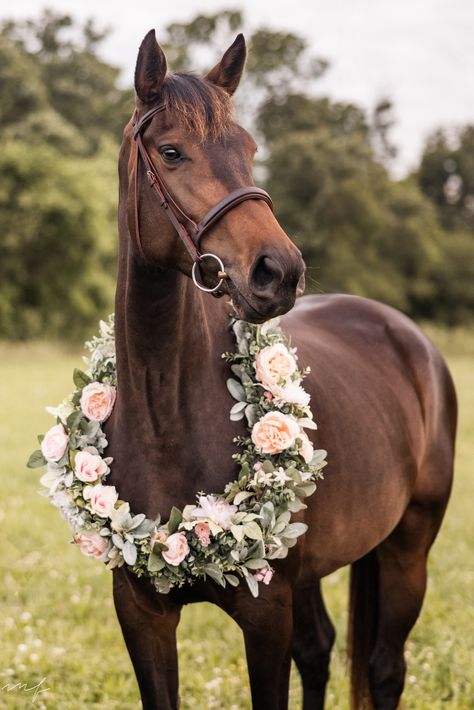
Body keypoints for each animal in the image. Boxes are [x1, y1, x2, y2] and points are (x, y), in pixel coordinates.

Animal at [106, 29, 456, 710]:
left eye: (248, 149)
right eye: (171, 151)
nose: (280, 270)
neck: (165, 420)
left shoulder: (265, 614)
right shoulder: (141, 615)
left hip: (408, 552)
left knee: (384, 668)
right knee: (319, 651)